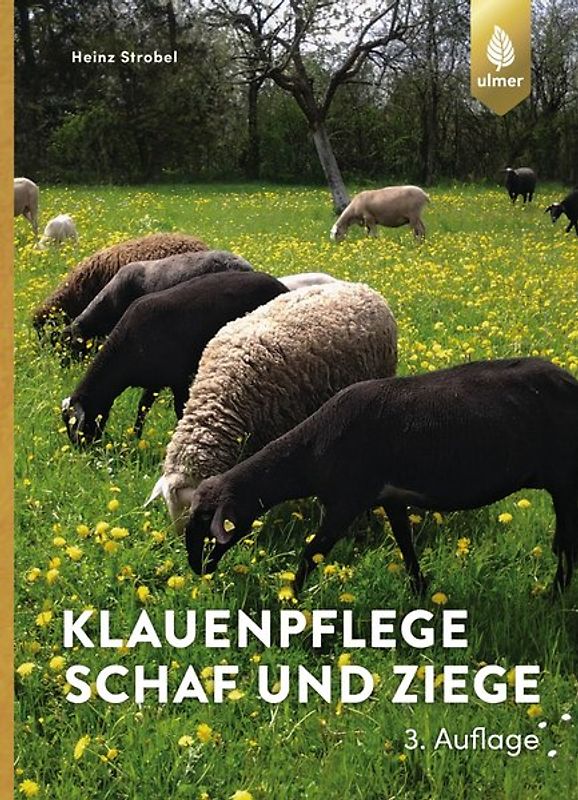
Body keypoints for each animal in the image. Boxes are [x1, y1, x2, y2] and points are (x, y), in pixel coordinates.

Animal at [61, 271, 288, 444]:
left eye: (77, 426)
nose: (84, 451)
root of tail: (282, 287)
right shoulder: (154, 381)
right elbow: (142, 409)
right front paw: (136, 438)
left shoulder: (178, 379)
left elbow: (179, 409)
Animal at [184, 358, 578, 595]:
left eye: (206, 521)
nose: (198, 569)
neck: (310, 453)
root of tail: (568, 381)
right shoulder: (390, 497)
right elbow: (405, 544)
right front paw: (419, 590)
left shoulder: (347, 501)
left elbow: (312, 552)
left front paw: (291, 597)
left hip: (565, 477)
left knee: (567, 545)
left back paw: (553, 596)